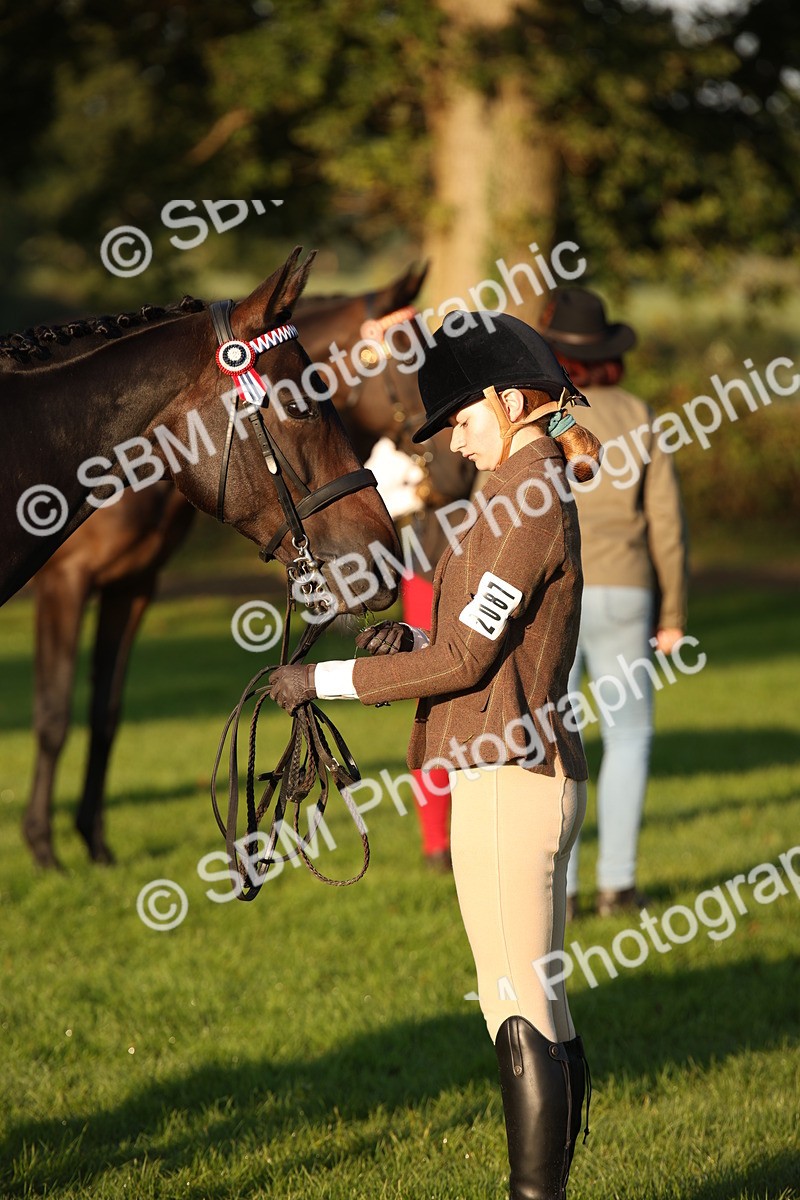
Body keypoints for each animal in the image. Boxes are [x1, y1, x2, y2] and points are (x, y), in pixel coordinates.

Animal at [3, 248, 403, 866]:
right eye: (298, 406)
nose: (384, 554)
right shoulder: (65, 584)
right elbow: (52, 714)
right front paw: (44, 846)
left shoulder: (132, 587)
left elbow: (105, 712)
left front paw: (93, 840)